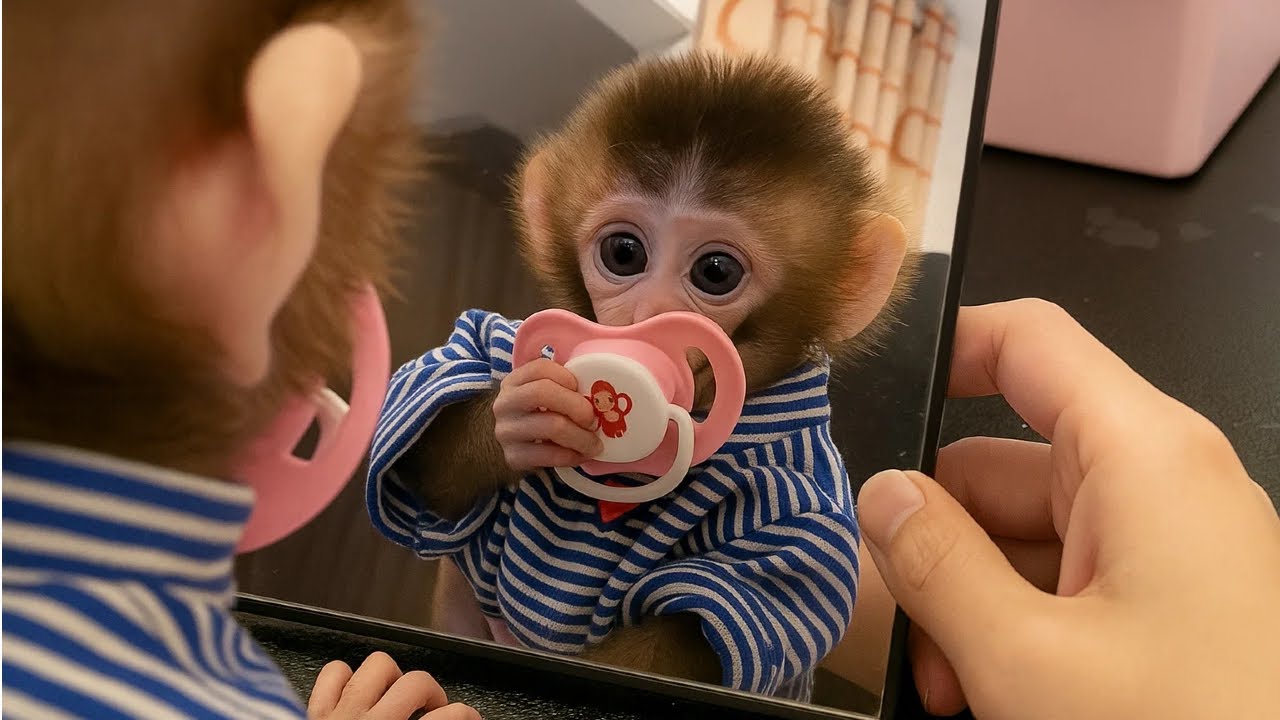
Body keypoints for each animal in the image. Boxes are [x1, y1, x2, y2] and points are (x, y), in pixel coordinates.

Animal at [367, 51, 914, 700]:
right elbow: (423, 429)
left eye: (715, 271)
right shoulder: (497, 336)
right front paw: (526, 412)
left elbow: (695, 632)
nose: (646, 320)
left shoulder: (805, 514)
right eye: (624, 253)